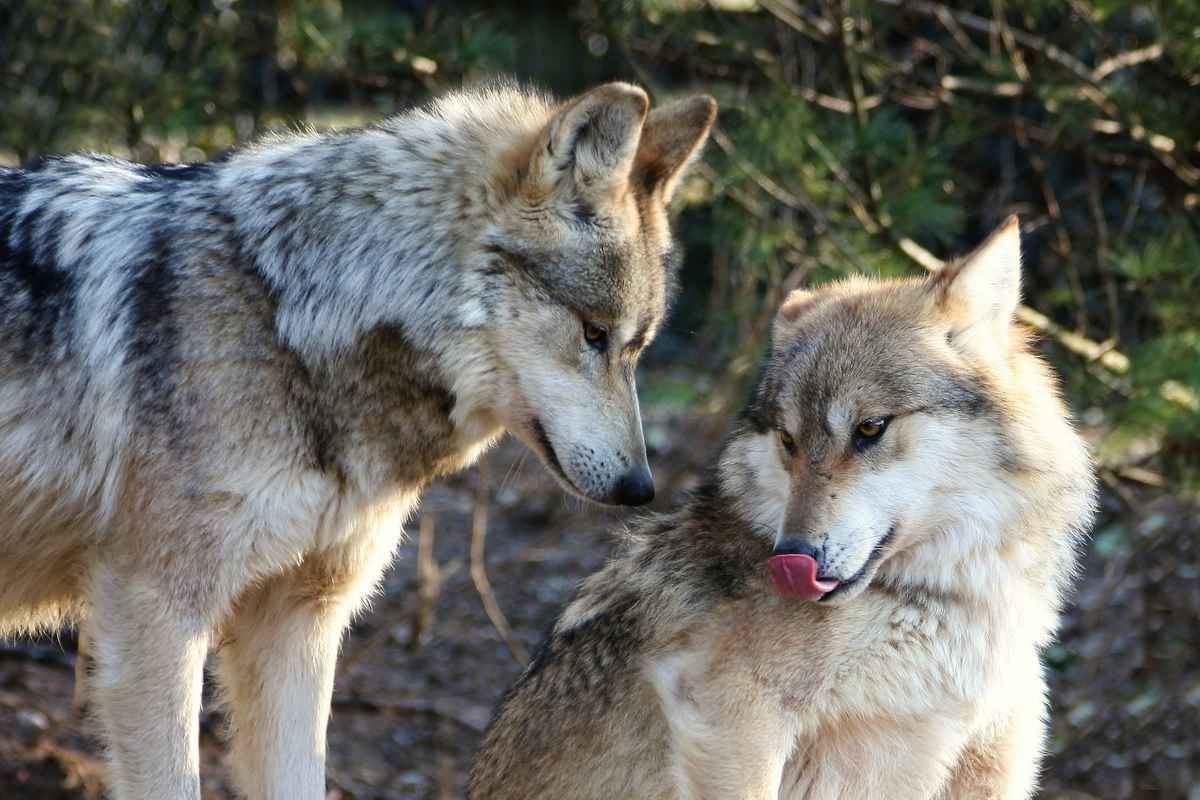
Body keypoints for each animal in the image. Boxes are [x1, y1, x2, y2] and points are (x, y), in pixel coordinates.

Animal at [0, 82, 710, 800]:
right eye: (593, 334)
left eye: (637, 347)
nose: (640, 487)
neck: (290, 319)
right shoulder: (155, 615)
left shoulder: (298, 619)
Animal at [465, 219, 1099, 800]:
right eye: (789, 441)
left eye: (871, 428)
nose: (792, 558)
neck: (941, 600)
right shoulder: (729, 717)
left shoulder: (993, 760)